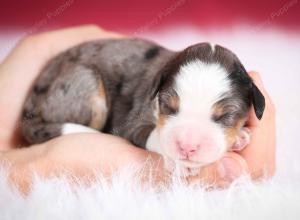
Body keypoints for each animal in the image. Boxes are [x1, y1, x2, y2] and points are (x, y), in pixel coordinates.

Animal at [21, 37, 264, 175]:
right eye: (168, 106)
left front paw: (239, 136)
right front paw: (178, 163)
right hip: (86, 86)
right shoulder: (133, 120)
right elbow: (152, 135)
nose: (187, 147)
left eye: (225, 116)